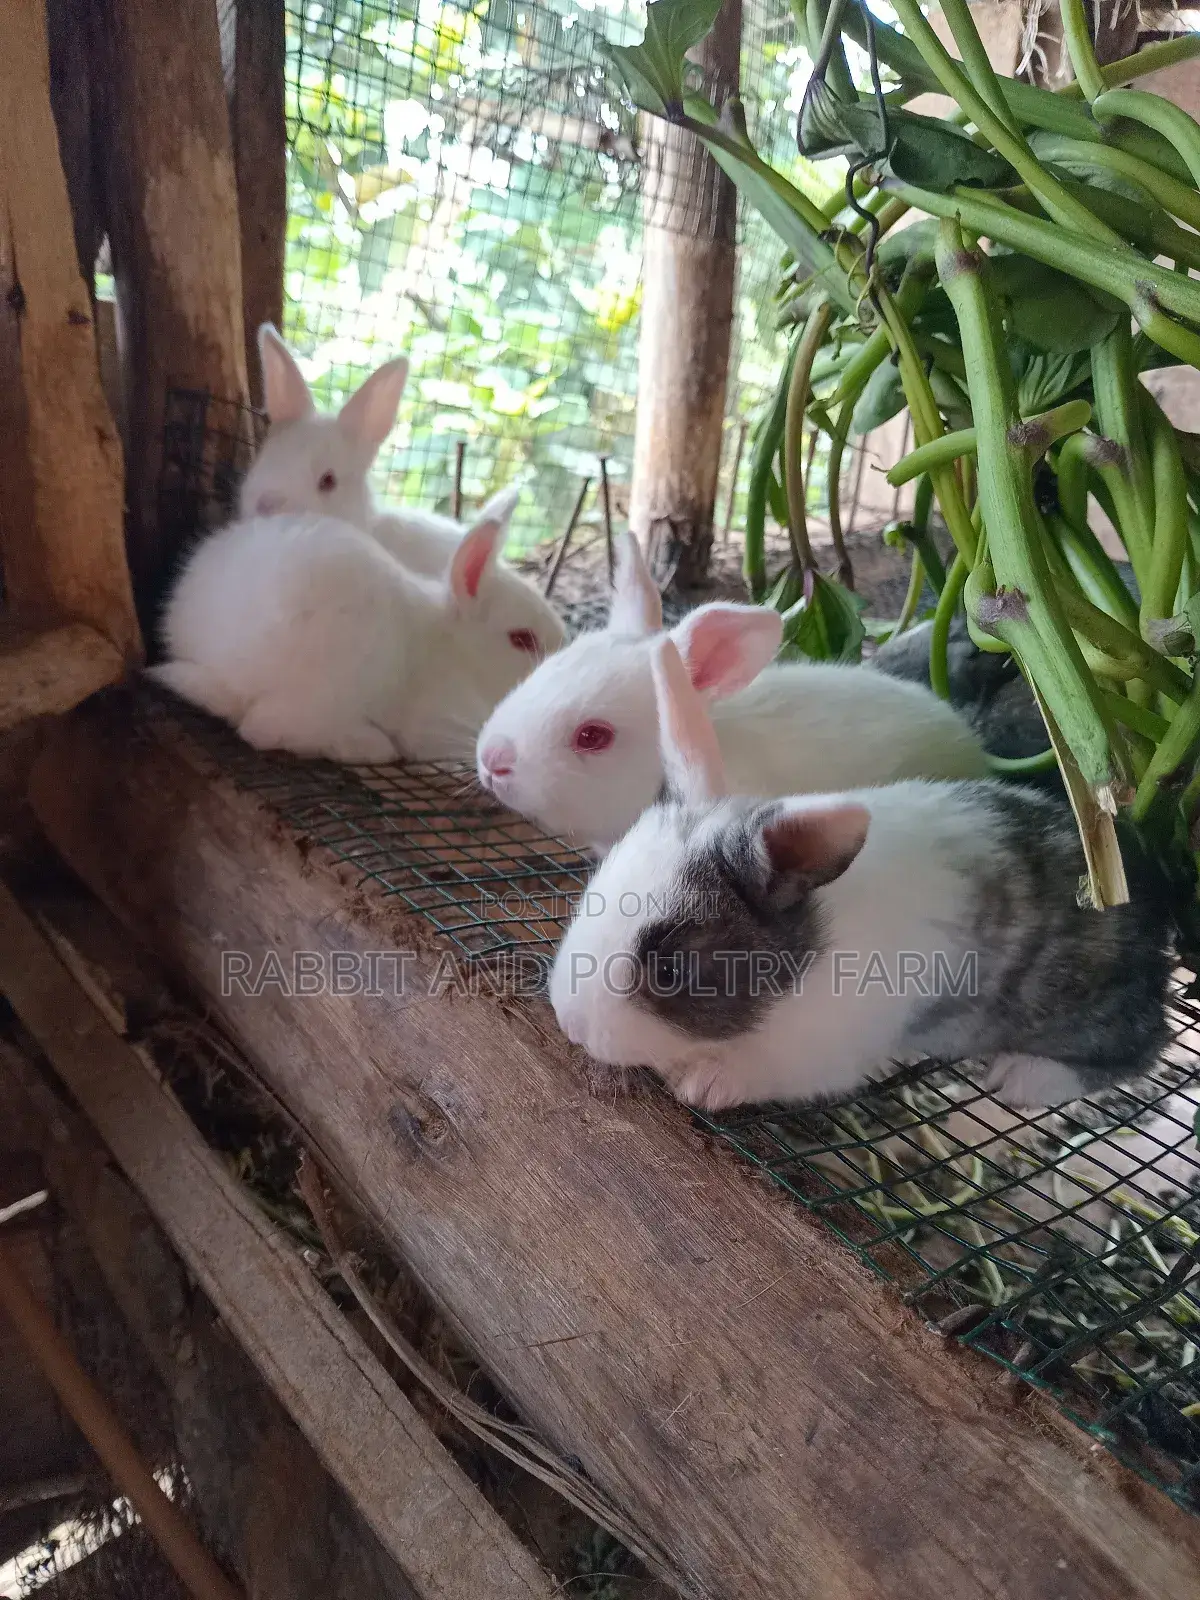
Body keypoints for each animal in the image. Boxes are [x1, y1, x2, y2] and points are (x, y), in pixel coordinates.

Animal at [549, 636, 1175, 1113]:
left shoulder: (817, 1057)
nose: (570, 1024)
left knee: (1142, 1043)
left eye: (672, 970)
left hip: (1091, 1009)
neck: (799, 975)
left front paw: (704, 1083)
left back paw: (1025, 1076)